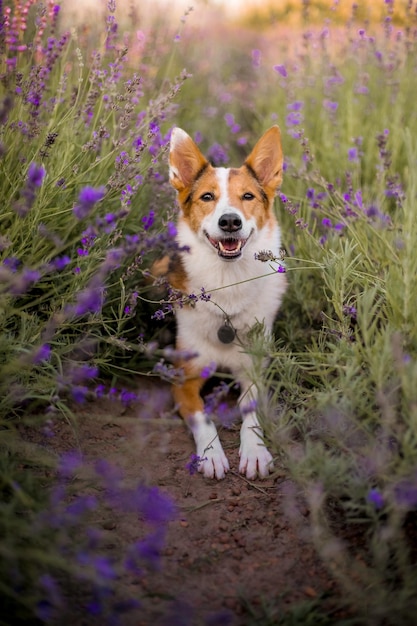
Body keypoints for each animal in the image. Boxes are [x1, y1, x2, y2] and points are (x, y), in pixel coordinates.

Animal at [159, 125, 286, 478]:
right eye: (207, 197)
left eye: (248, 196)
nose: (230, 221)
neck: (227, 284)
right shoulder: (184, 378)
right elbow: (203, 416)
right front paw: (211, 454)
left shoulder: (253, 370)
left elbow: (249, 410)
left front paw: (255, 451)